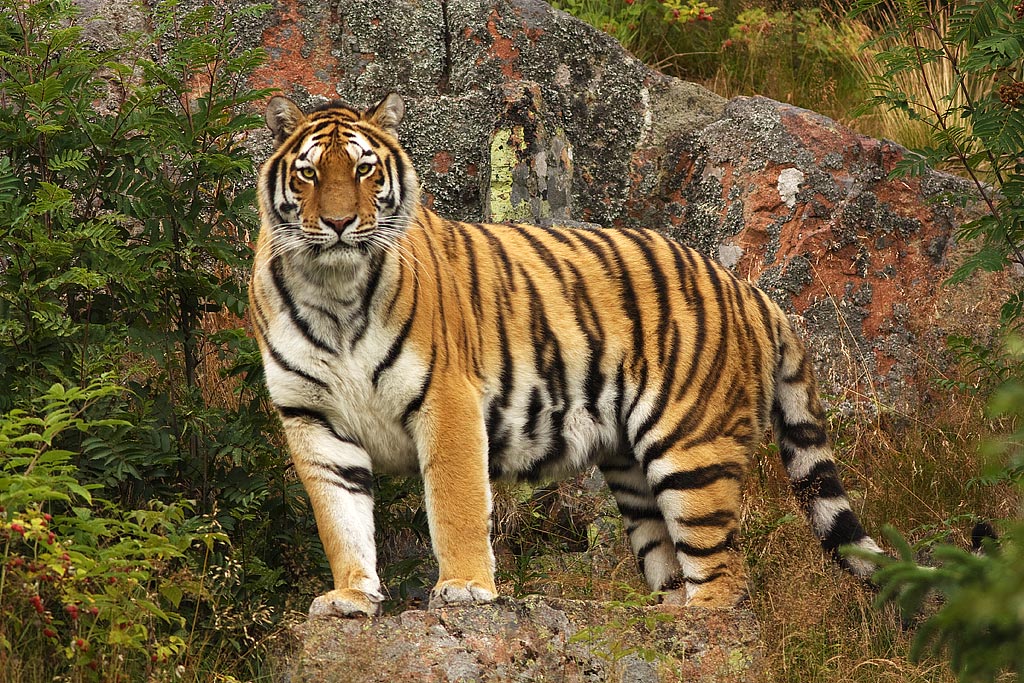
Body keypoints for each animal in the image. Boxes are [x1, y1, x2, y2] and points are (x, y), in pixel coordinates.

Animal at [249, 92, 884, 618]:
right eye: (308, 173)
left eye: (364, 169)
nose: (338, 222)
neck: (334, 291)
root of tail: (747, 288)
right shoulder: (312, 419)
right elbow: (340, 518)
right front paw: (350, 596)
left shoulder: (446, 400)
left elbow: (455, 504)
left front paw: (465, 588)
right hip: (634, 473)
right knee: (673, 563)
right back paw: (665, 615)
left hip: (692, 449)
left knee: (727, 577)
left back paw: (696, 621)